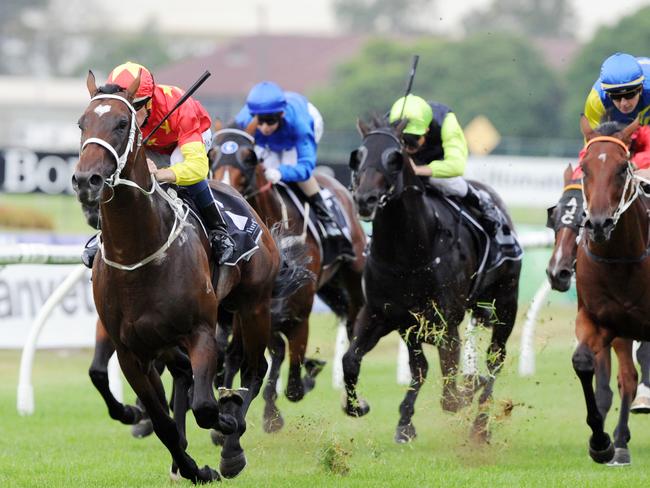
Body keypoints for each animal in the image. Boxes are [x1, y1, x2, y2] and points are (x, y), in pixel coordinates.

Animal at [73, 70, 302, 482]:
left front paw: (225, 428)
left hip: (253, 305)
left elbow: (207, 406)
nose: (87, 180)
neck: (137, 254)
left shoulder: (200, 331)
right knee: (185, 376)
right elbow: (161, 419)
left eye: (121, 123)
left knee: (254, 369)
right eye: (82, 124)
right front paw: (191, 466)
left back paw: (232, 447)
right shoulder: (130, 349)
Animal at [210, 124, 368, 432]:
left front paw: (309, 374)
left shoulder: (298, 314)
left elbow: (294, 385)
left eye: (250, 157)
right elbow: (254, 356)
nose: (223, 188)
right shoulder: (257, 310)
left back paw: (353, 401)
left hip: (352, 277)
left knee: (353, 324)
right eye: (211, 154)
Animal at [344, 117, 520, 442]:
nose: (365, 199)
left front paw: (469, 386)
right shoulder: (382, 315)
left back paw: (481, 424)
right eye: (357, 156)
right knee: (422, 368)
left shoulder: (445, 323)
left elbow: (451, 395)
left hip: (506, 302)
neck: (408, 253)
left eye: (395, 157)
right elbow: (351, 361)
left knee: (495, 360)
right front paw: (360, 406)